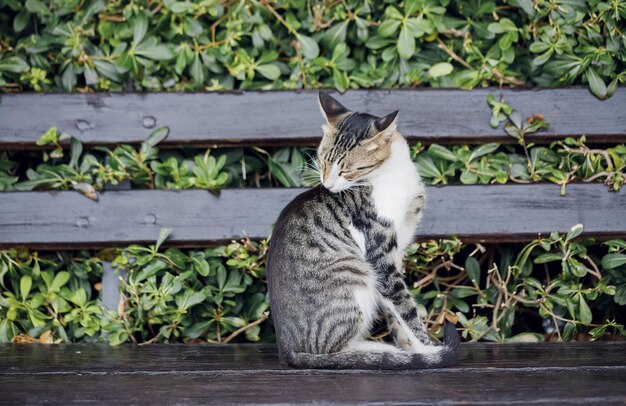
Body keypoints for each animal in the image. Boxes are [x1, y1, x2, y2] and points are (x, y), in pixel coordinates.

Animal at [264, 91, 458, 368]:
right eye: (322, 161)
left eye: (348, 169)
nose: (327, 184)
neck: (392, 175)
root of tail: (287, 350)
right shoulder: (380, 254)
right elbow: (405, 306)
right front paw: (428, 349)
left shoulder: (397, 253)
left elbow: (394, 310)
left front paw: (410, 346)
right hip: (354, 275)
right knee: (334, 350)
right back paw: (376, 351)